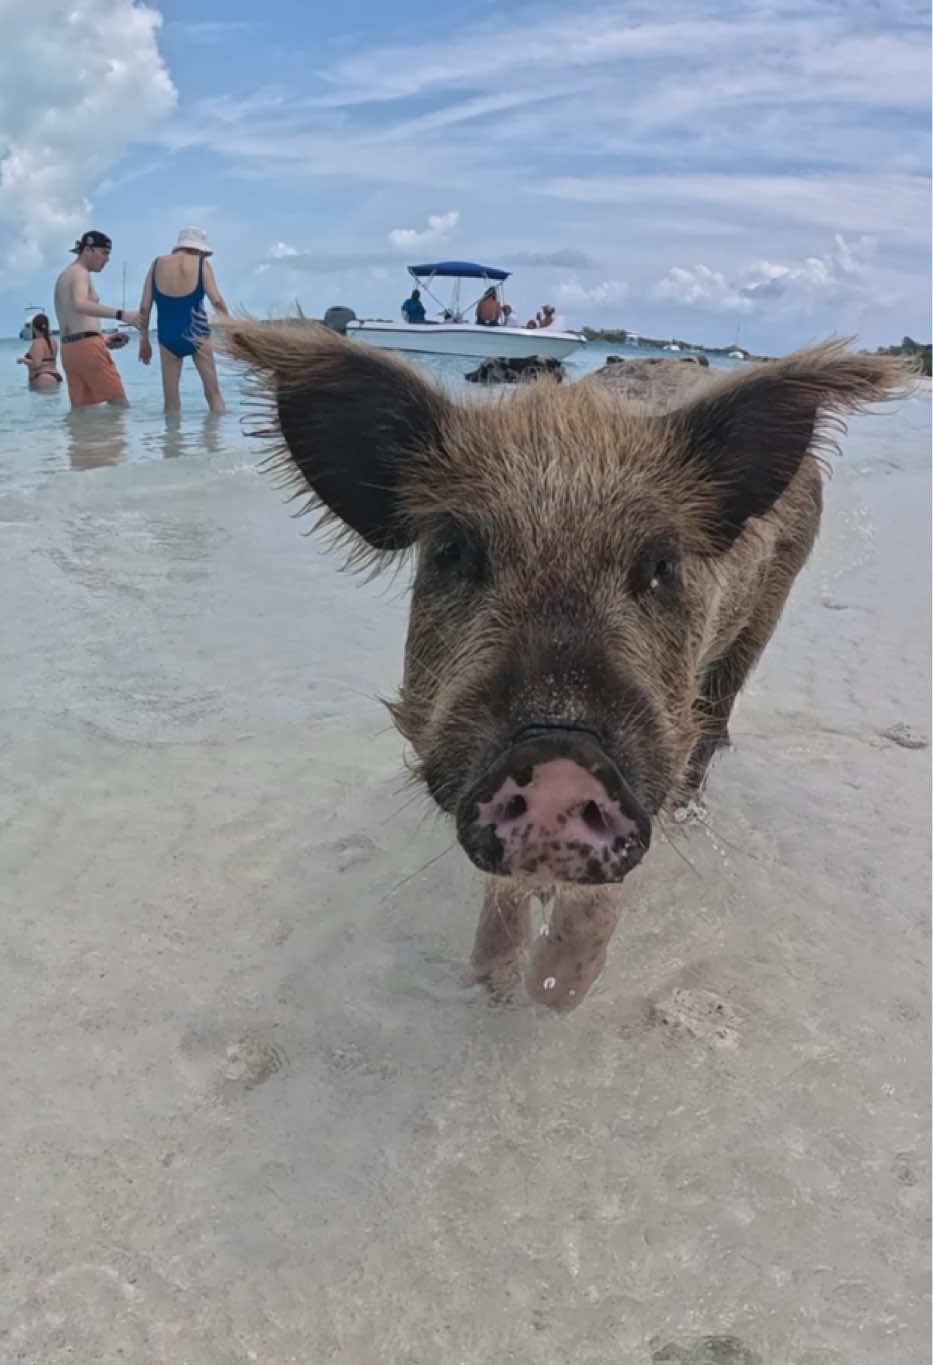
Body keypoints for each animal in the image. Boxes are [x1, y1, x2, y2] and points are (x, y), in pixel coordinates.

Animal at [221, 323, 909, 1010]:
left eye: (662, 565)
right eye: (451, 550)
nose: (559, 752)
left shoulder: (658, 755)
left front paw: (552, 992)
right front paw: (493, 982)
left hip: (758, 625)